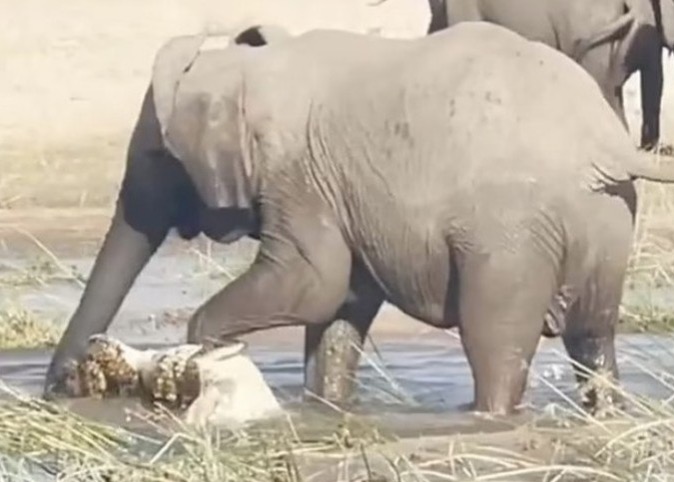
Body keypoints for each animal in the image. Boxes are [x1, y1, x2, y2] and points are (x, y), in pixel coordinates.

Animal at [43, 20, 674, 415]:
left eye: (157, 156)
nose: (62, 387)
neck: (246, 67)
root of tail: (606, 144)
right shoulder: (339, 191)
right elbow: (341, 305)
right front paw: (325, 408)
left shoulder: (298, 174)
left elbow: (312, 282)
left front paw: (200, 353)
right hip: (602, 221)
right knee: (594, 342)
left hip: (509, 238)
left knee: (495, 346)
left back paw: (484, 416)